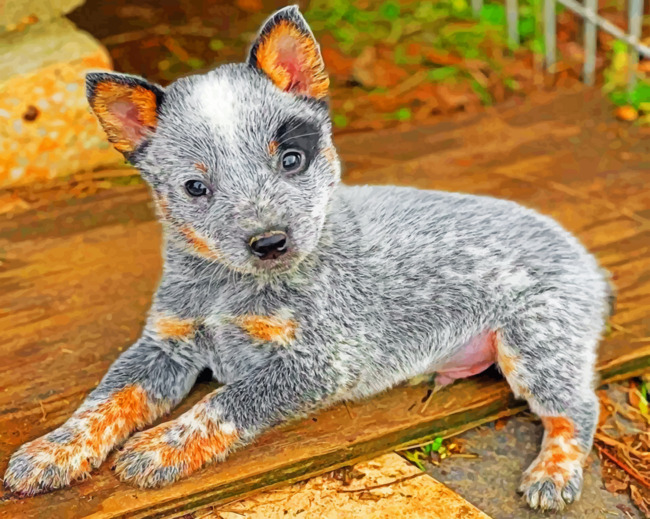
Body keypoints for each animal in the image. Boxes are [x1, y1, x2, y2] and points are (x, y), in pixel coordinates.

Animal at [5, 7, 612, 512]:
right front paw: (51, 450)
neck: (228, 287)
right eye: (196, 187)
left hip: (534, 338)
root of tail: (586, 258)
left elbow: (224, 401)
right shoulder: (165, 342)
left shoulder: (321, 361)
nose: (270, 241)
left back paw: (553, 475)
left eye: (292, 159)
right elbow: (104, 399)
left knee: (579, 408)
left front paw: (158, 446)